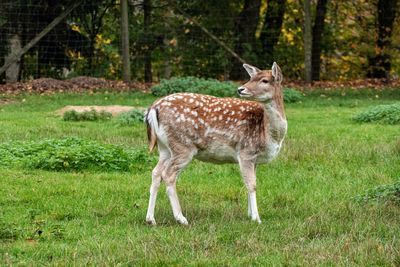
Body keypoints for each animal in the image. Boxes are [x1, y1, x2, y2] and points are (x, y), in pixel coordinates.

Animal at [145, 62, 286, 226]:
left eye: (264, 80)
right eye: (252, 78)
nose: (241, 89)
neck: (268, 134)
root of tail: (153, 108)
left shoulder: (254, 159)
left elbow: (248, 183)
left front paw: (250, 215)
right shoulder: (246, 151)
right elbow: (252, 184)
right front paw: (257, 219)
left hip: (164, 148)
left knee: (156, 172)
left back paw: (151, 219)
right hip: (183, 146)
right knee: (168, 174)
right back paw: (181, 218)